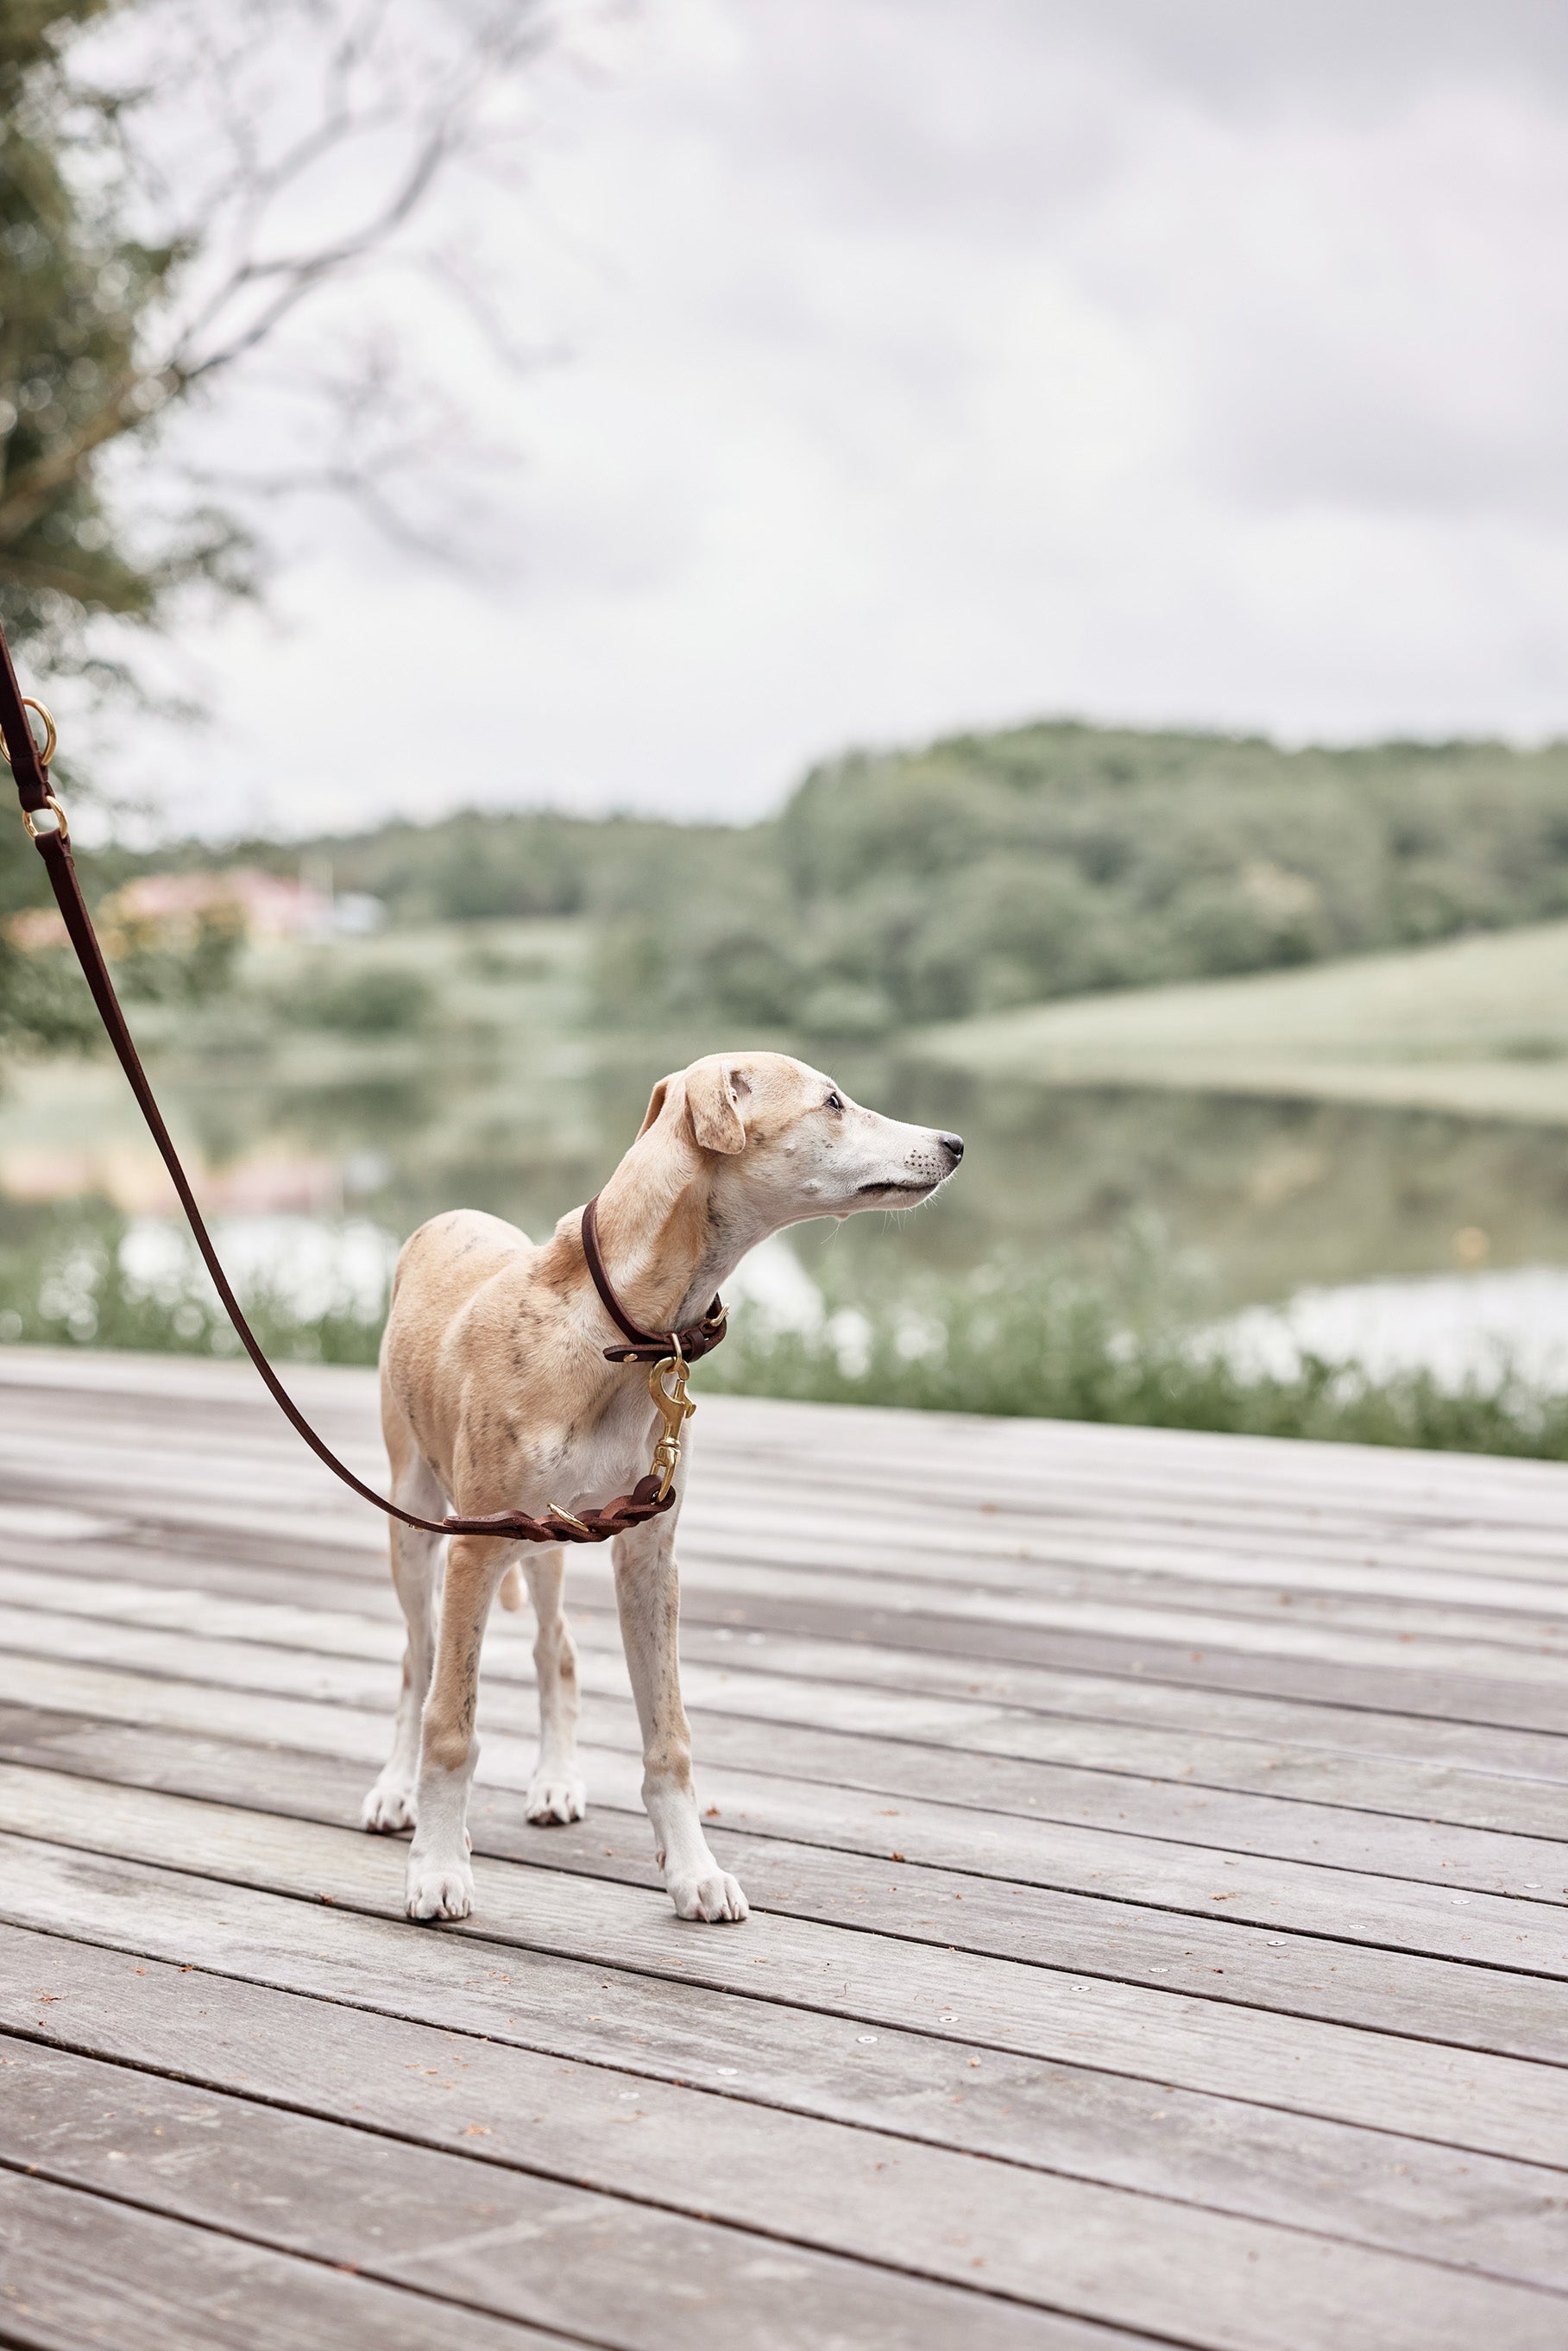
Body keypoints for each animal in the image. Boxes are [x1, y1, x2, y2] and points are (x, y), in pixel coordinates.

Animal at [368, 1053, 963, 1927]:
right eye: (831, 1101)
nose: (954, 1144)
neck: (611, 1324)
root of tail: (447, 1216)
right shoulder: (475, 1549)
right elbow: (452, 1723)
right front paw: (439, 1868)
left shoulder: (647, 1555)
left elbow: (668, 1735)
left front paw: (693, 1871)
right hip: (419, 1525)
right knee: (418, 1658)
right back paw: (394, 1790)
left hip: (543, 1542)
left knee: (555, 1646)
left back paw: (554, 1780)